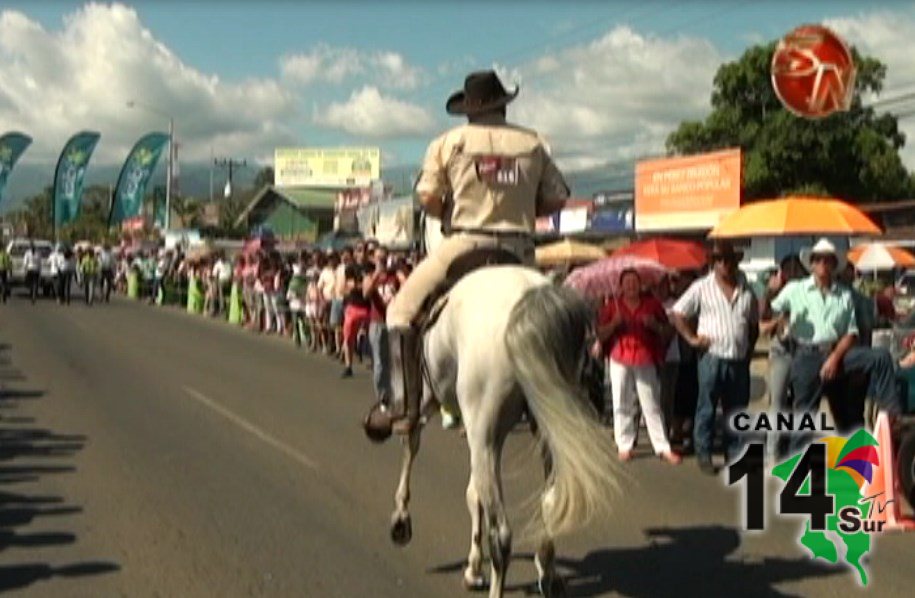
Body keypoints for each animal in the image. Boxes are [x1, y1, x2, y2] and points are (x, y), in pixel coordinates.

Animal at [388, 264, 624, 596]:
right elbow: (475, 494)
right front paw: (474, 567)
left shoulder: (432, 400)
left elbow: (412, 443)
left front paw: (401, 520)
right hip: (549, 425)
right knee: (549, 502)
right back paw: (547, 570)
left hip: (484, 430)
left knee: (501, 535)